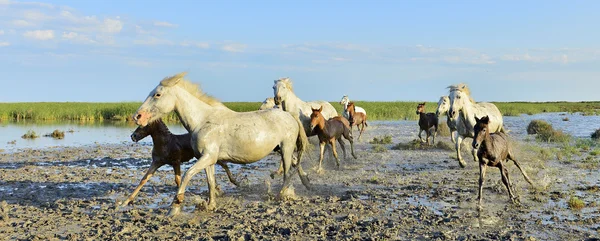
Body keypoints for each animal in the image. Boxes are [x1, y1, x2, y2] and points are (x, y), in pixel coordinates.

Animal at [134, 72, 312, 217]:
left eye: (157, 94)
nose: (137, 116)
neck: (203, 121)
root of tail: (289, 115)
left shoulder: (208, 157)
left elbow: (187, 175)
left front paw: (174, 207)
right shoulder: (209, 160)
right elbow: (211, 182)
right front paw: (210, 205)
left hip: (286, 148)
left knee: (287, 172)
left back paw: (281, 195)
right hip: (280, 149)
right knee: (295, 165)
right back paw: (306, 182)